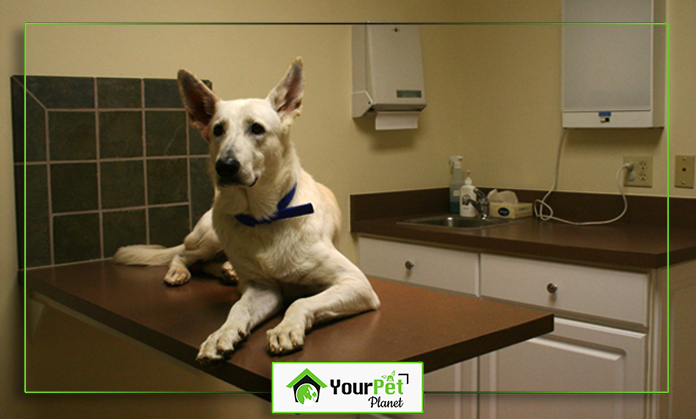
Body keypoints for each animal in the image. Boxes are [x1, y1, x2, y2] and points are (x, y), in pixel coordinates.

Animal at [115, 57, 380, 366]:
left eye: (257, 129)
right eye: (218, 130)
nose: (225, 166)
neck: (263, 216)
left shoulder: (355, 282)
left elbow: (300, 301)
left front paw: (286, 328)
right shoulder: (263, 288)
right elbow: (238, 310)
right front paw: (221, 334)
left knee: (207, 264)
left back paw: (226, 271)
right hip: (210, 233)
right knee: (185, 256)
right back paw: (182, 272)